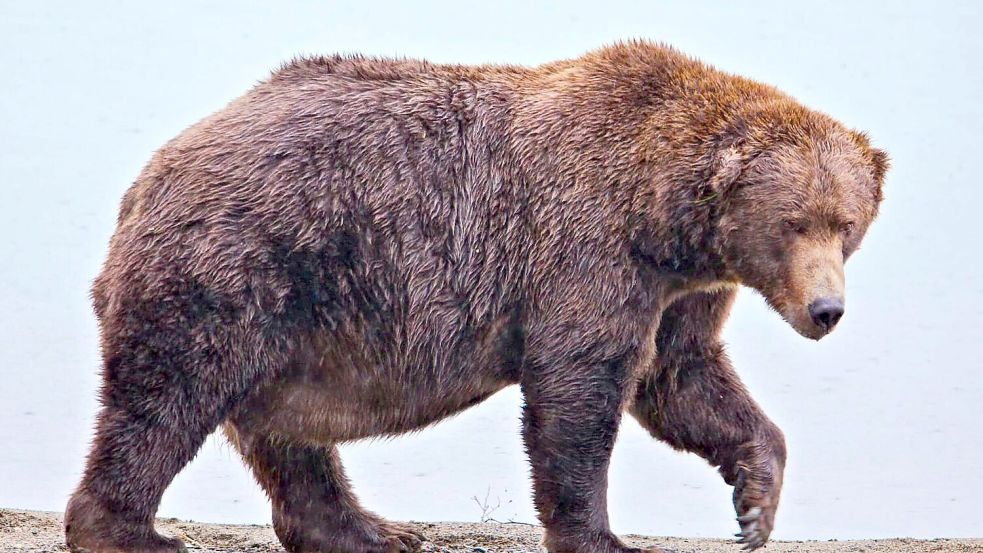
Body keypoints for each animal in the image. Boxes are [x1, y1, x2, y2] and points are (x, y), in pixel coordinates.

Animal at [65, 40, 888, 552]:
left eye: (845, 224)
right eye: (793, 222)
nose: (825, 311)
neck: (662, 214)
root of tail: (147, 178)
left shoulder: (680, 289)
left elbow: (682, 378)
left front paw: (754, 503)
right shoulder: (586, 247)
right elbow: (579, 389)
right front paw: (600, 534)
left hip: (294, 318)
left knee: (286, 436)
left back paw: (369, 529)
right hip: (237, 268)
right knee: (167, 399)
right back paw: (131, 530)